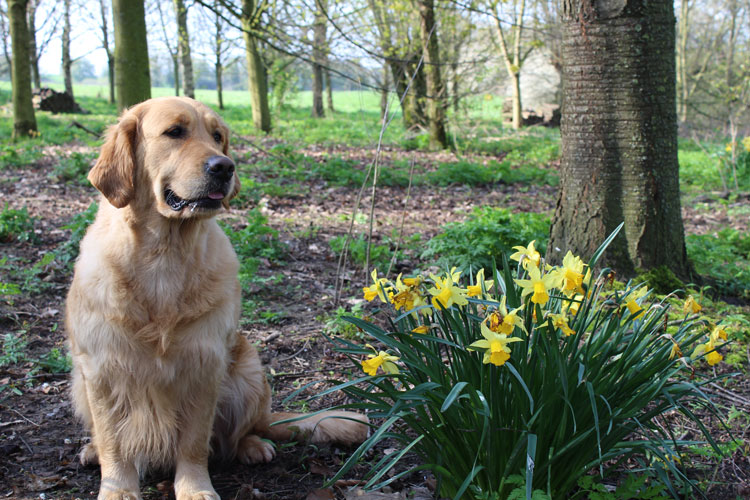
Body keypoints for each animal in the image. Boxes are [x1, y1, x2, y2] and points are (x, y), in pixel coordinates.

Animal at [67, 97, 370, 500]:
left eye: (218, 137)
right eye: (174, 132)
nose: (225, 166)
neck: (164, 255)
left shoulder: (204, 366)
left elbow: (194, 443)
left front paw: (195, 488)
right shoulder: (101, 370)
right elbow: (114, 444)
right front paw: (117, 489)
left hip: (249, 373)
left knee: (243, 431)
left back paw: (253, 446)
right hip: (78, 384)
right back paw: (91, 450)